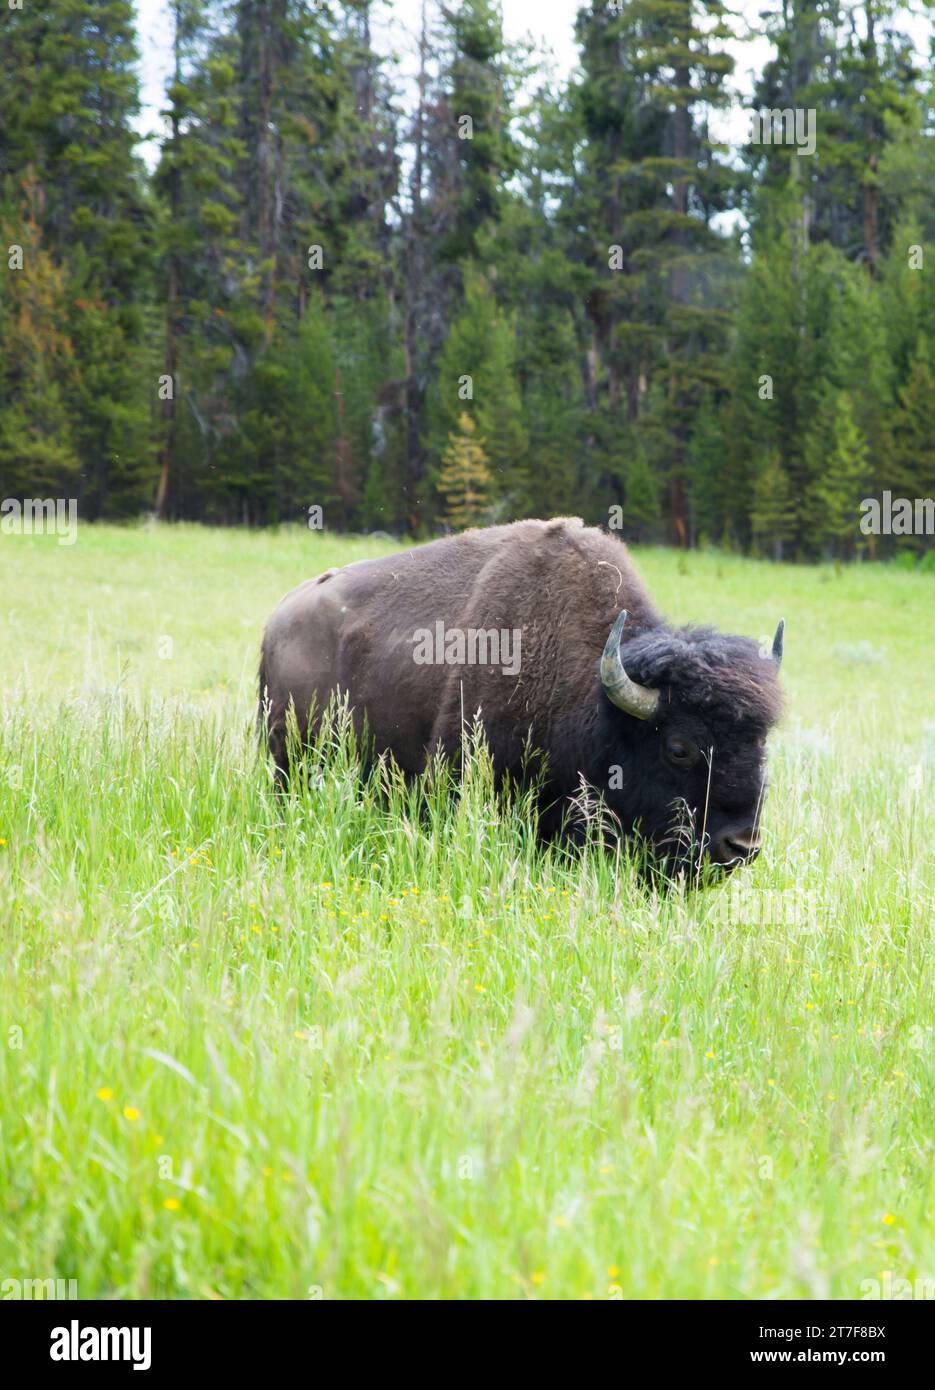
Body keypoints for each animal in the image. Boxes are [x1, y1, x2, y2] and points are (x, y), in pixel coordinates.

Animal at [255, 522, 778, 878]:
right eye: (679, 748)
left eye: (762, 743)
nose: (741, 846)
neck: (597, 699)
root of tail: (278, 617)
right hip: (289, 759)